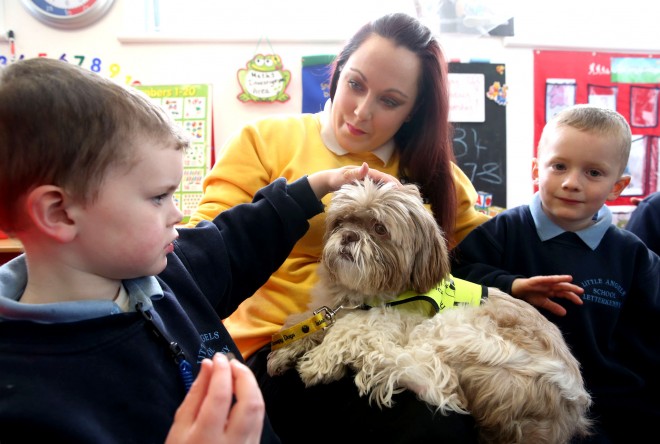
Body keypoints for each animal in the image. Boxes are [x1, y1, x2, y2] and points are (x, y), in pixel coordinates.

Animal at [268, 178, 592, 444]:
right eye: (341, 222)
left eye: (380, 229)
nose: (348, 236)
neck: (360, 294)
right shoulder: (330, 310)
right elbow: (306, 322)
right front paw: (286, 349)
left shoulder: (394, 318)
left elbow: (351, 327)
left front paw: (319, 361)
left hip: (456, 329)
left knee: (441, 385)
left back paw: (377, 360)